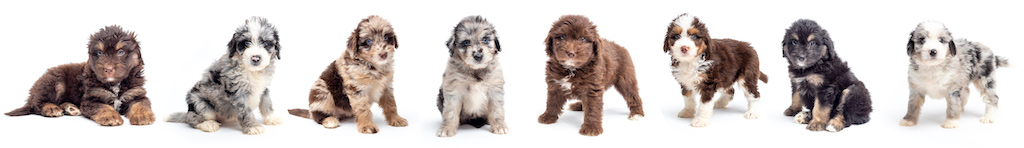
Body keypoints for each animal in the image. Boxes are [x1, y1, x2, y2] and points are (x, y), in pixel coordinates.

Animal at [4, 25, 153, 126]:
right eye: (99, 53)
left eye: (121, 52)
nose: (108, 69)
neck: (114, 83)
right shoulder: (90, 99)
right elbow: (102, 106)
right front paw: (111, 117)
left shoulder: (136, 93)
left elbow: (141, 103)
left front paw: (143, 116)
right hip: (55, 81)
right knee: (37, 104)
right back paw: (52, 108)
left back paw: (70, 108)